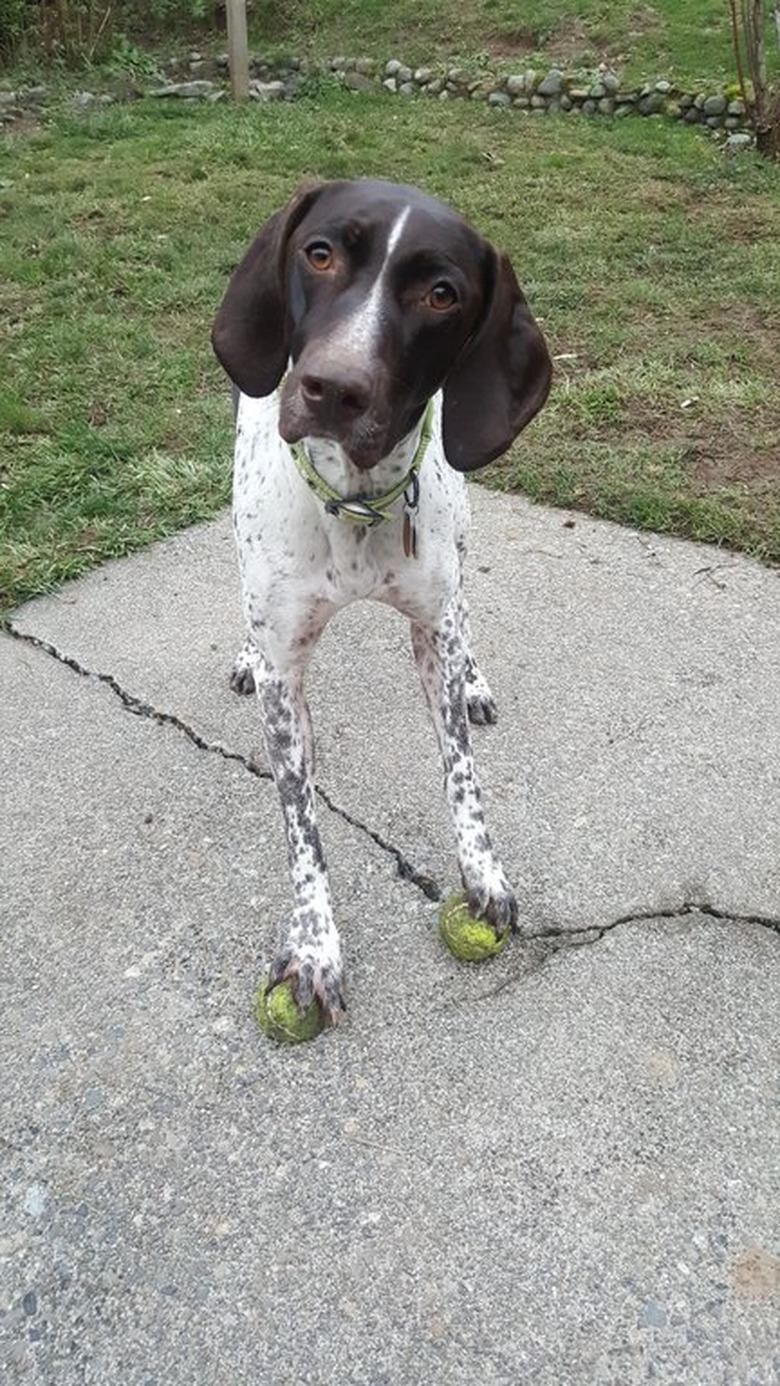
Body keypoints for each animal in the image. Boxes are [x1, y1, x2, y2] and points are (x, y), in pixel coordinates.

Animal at [213, 178, 551, 1025]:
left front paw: (483, 873)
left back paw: (475, 677)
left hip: (460, 534)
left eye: (442, 293)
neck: (358, 501)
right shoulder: (287, 684)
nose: (333, 388)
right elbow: (302, 826)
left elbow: (461, 772)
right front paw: (315, 949)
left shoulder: (431, 629)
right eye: (320, 253)